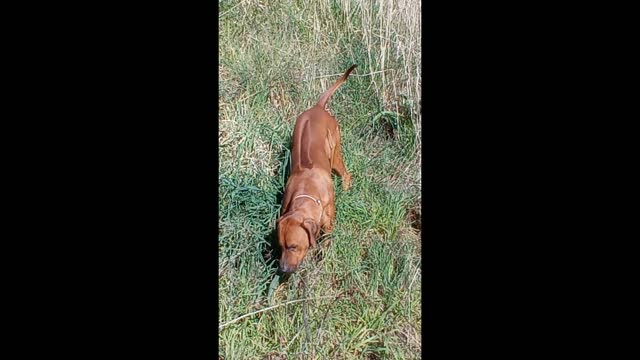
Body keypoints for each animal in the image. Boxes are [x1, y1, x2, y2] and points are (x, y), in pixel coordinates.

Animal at [276, 64, 358, 272]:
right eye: (280, 246)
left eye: (293, 246)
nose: (282, 269)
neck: (307, 193)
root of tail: (318, 107)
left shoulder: (328, 223)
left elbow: (327, 241)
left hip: (335, 152)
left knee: (346, 174)